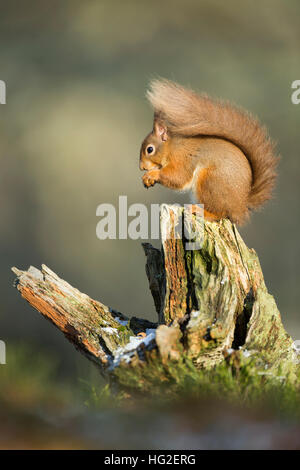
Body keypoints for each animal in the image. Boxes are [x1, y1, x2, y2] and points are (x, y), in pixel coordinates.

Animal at [139, 79, 278, 226]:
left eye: (150, 149)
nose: (142, 167)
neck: (171, 148)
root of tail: (240, 207)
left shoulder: (183, 159)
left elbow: (177, 177)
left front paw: (152, 175)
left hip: (210, 182)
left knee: (219, 214)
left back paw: (201, 211)